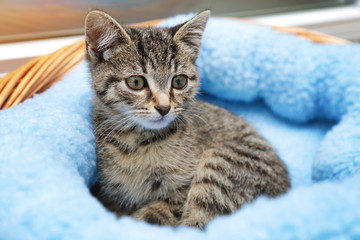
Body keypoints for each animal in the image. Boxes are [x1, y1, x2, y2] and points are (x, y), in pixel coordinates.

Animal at [86, 10, 292, 230]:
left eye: (179, 81)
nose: (164, 108)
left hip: (222, 164)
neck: (137, 141)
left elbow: (154, 215)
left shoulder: (182, 193)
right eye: (135, 82)